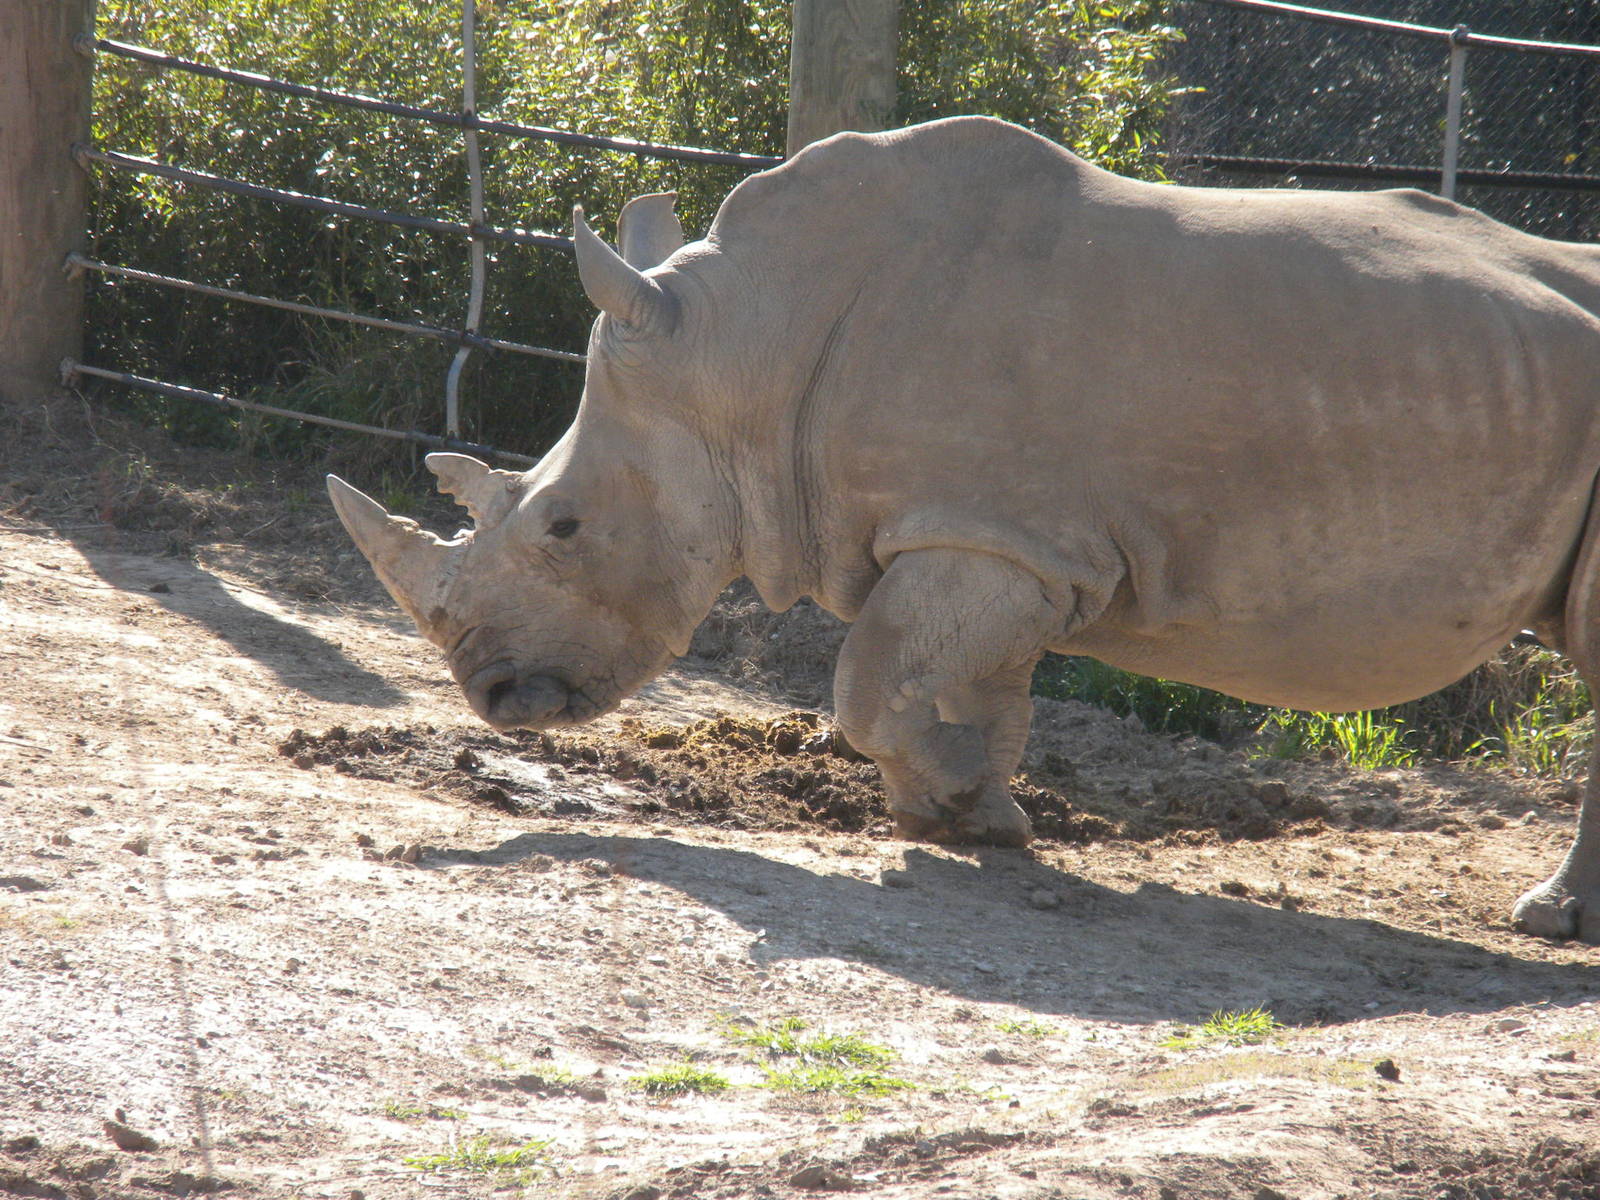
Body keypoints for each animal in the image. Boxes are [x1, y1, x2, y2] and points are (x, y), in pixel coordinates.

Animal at [328, 116, 1600, 941]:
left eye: (564, 527)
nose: (494, 697)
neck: (743, 354)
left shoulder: (993, 533)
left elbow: (873, 683)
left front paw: (965, 815)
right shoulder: (993, 540)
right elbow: (950, 687)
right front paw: (964, 816)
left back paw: (1544, 924)